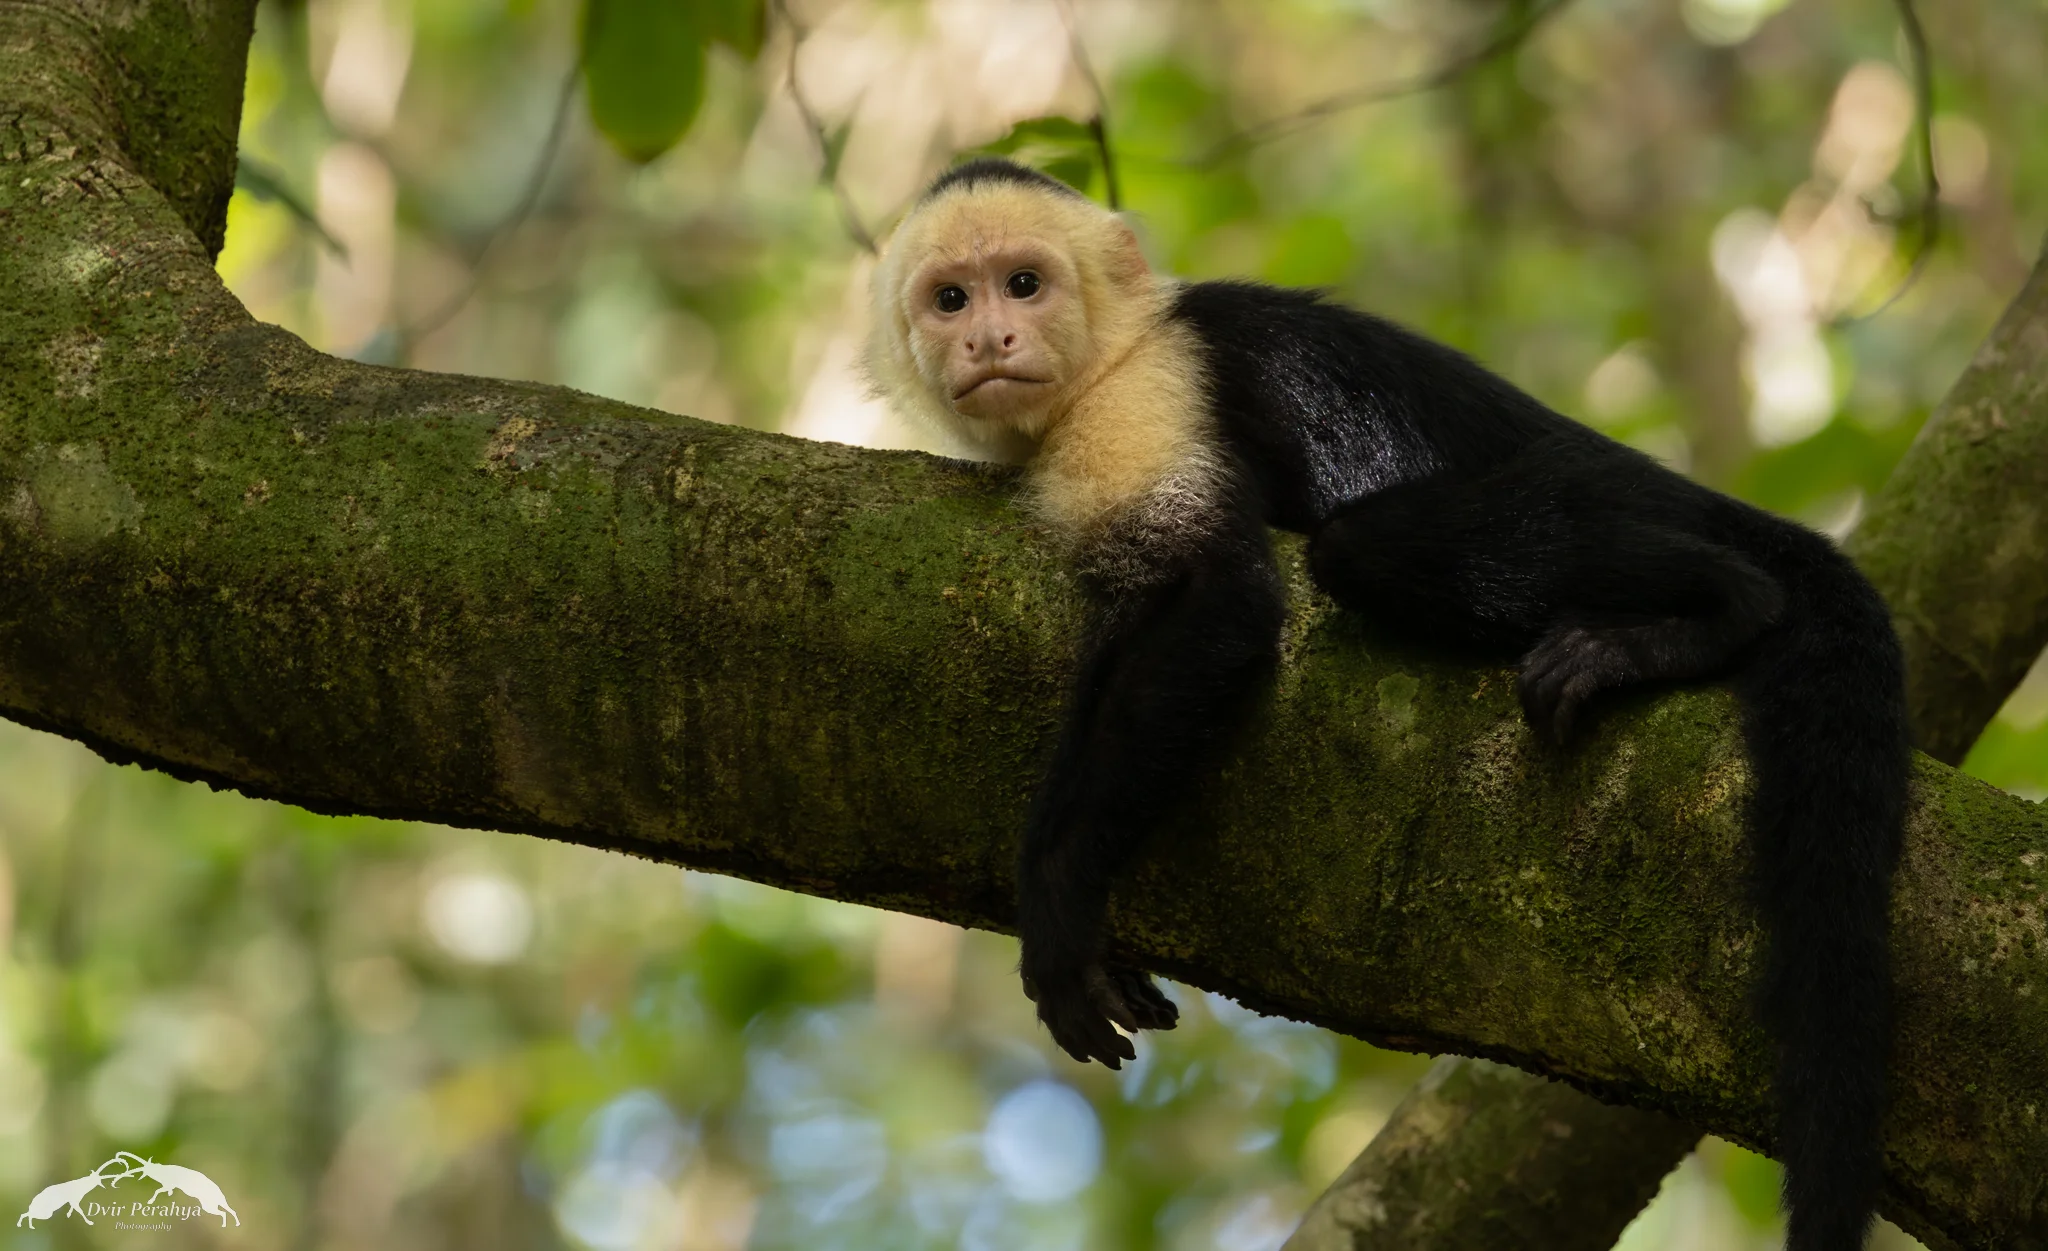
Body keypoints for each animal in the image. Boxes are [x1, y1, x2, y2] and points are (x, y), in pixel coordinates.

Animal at [864, 157, 1906, 1251]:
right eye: (949, 300)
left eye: (1023, 285)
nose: (988, 339)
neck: (1107, 363)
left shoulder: (1147, 397)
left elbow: (1218, 600)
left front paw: (1059, 899)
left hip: (1590, 489)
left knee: (1367, 547)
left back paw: (1716, 608)